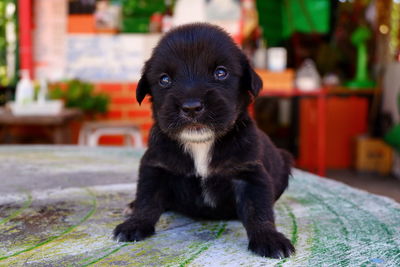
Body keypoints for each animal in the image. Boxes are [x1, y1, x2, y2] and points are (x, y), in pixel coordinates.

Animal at [114, 23, 296, 260]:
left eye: (221, 72)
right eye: (164, 79)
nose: (191, 107)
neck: (200, 144)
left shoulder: (249, 173)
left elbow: (258, 210)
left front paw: (268, 238)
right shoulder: (155, 167)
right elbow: (147, 199)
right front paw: (135, 223)